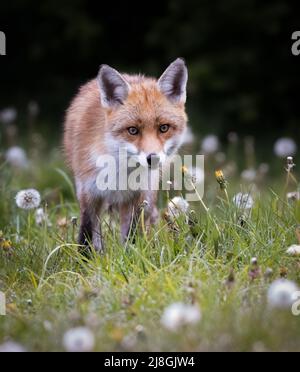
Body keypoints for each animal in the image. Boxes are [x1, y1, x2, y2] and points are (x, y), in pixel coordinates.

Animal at [64, 58, 189, 251]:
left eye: (163, 128)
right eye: (133, 130)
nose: (153, 159)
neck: (120, 173)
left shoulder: (137, 198)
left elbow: (132, 236)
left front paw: (131, 255)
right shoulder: (89, 193)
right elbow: (86, 234)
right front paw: (85, 258)